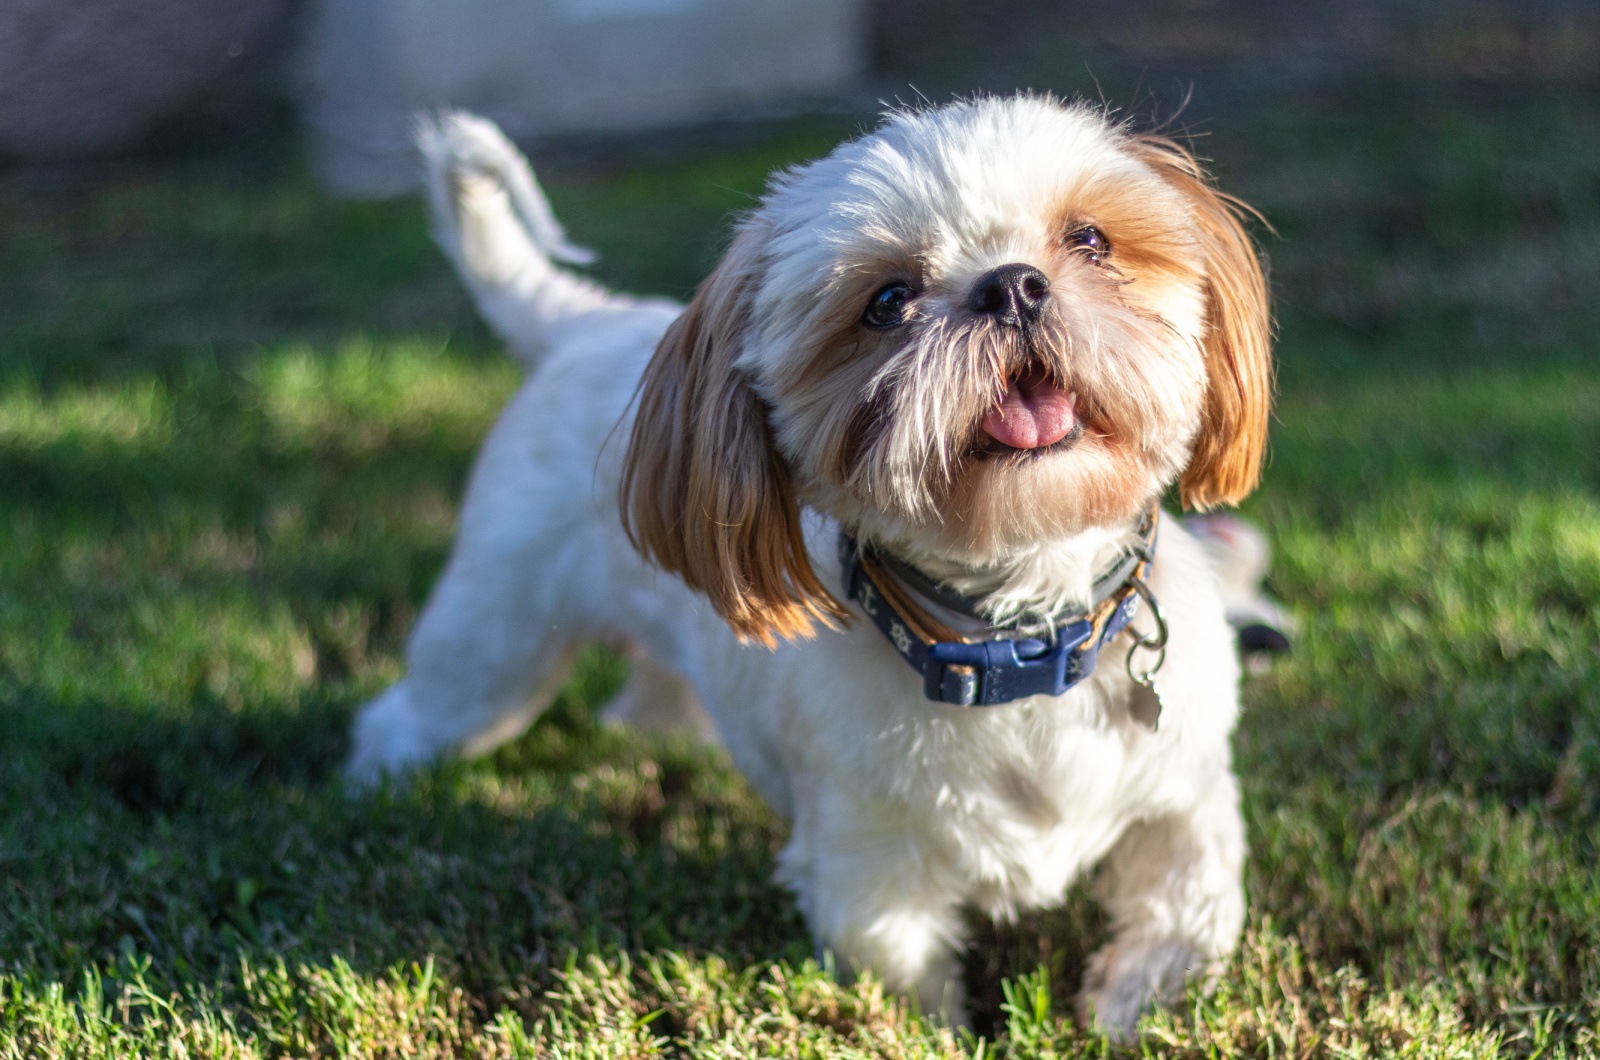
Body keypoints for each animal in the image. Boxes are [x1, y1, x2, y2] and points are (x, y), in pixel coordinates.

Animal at [350, 99, 1273, 1037]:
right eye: (888, 302)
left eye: (1089, 239)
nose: (1011, 285)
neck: (1016, 645)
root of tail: (584, 319)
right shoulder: (869, 869)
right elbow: (907, 981)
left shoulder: (1189, 793)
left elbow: (1189, 911)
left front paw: (1135, 1008)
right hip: (492, 647)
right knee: (415, 715)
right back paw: (378, 786)